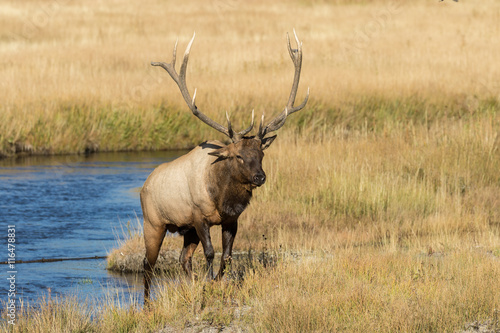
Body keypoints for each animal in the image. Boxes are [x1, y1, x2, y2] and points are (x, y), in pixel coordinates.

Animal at [141, 30, 308, 300]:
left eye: (261, 153)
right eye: (238, 156)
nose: (260, 177)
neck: (222, 197)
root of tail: (145, 185)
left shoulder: (231, 220)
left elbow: (227, 256)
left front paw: (216, 281)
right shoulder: (199, 216)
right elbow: (210, 252)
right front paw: (209, 282)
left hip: (184, 229)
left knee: (183, 259)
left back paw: (190, 284)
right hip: (154, 222)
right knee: (148, 263)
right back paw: (147, 303)